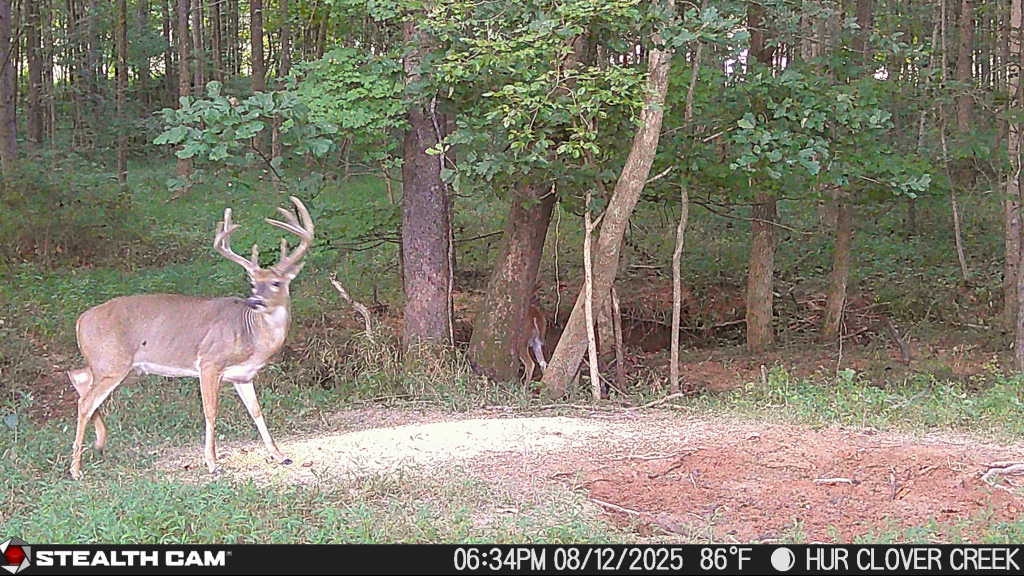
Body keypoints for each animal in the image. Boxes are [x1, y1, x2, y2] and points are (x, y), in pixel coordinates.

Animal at [66, 196, 314, 479]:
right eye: (253, 283)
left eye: (276, 283)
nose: (255, 301)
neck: (251, 337)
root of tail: (80, 321)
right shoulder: (209, 362)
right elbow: (210, 412)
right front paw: (212, 462)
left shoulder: (243, 375)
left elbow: (256, 411)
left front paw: (280, 455)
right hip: (113, 362)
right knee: (85, 402)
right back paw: (75, 469)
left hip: (115, 365)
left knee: (78, 376)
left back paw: (99, 443)